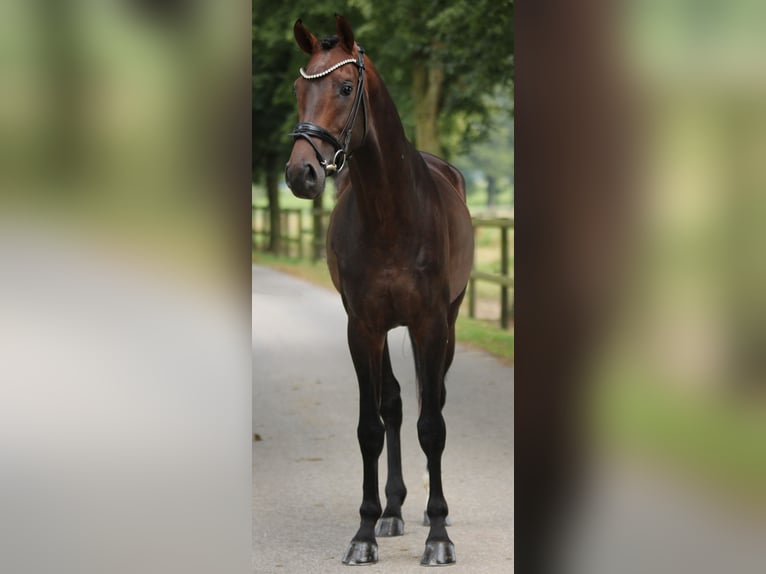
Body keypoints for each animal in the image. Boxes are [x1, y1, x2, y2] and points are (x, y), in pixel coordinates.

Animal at [284, 15, 472, 568]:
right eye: (299, 88)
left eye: (346, 87)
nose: (300, 174)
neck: (392, 211)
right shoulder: (362, 327)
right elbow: (371, 425)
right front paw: (364, 532)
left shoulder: (430, 324)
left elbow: (433, 425)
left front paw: (439, 536)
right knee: (393, 404)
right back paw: (392, 510)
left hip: (448, 322)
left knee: (434, 402)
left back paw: (431, 514)